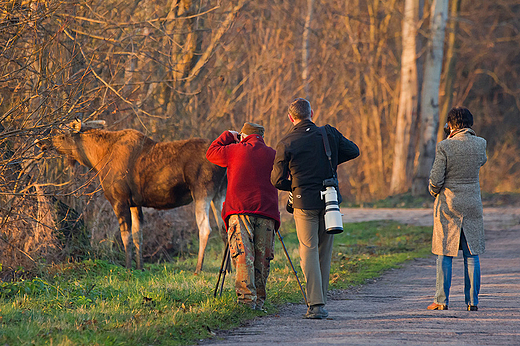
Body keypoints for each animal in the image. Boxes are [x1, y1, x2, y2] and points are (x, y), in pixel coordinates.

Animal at [39, 119, 226, 274]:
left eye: (61, 134)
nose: (41, 141)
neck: (97, 160)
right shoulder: (136, 203)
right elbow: (138, 235)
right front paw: (139, 267)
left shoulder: (119, 200)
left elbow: (125, 236)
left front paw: (129, 267)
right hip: (218, 194)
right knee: (224, 227)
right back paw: (228, 269)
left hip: (202, 192)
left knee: (206, 229)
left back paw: (198, 269)